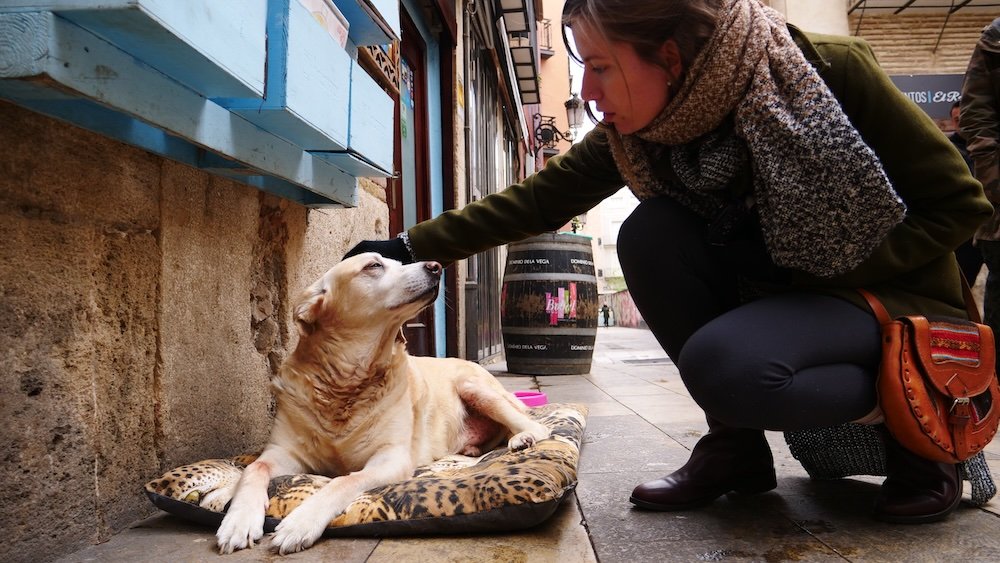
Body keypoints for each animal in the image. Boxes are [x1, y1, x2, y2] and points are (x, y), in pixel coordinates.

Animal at [214, 254, 552, 556]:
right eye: (374, 265)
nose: (436, 266)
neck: (346, 383)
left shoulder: (391, 458)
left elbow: (345, 481)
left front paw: (301, 522)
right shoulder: (281, 452)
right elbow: (253, 469)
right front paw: (238, 520)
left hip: (475, 388)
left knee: (537, 426)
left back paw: (522, 439)